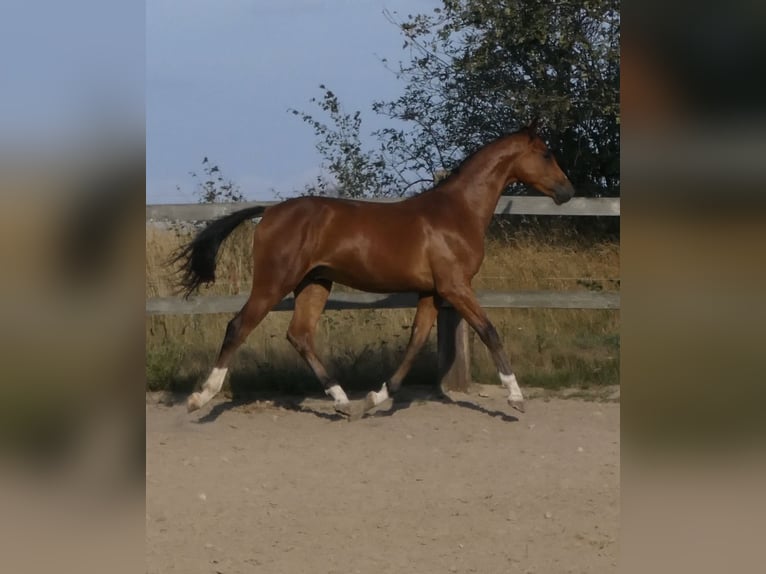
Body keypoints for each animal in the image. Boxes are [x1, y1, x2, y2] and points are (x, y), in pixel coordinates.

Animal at [173, 120, 575, 419]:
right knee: (238, 326)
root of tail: (270, 211)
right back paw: (200, 398)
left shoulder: (432, 291)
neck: (458, 212)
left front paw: (376, 397)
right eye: (546, 153)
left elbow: (416, 341)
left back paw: (343, 401)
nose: (567, 191)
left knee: (300, 334)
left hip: (315, 283)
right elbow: (489, 331)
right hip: (275, 282)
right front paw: (516, 397)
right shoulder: (455, 286)